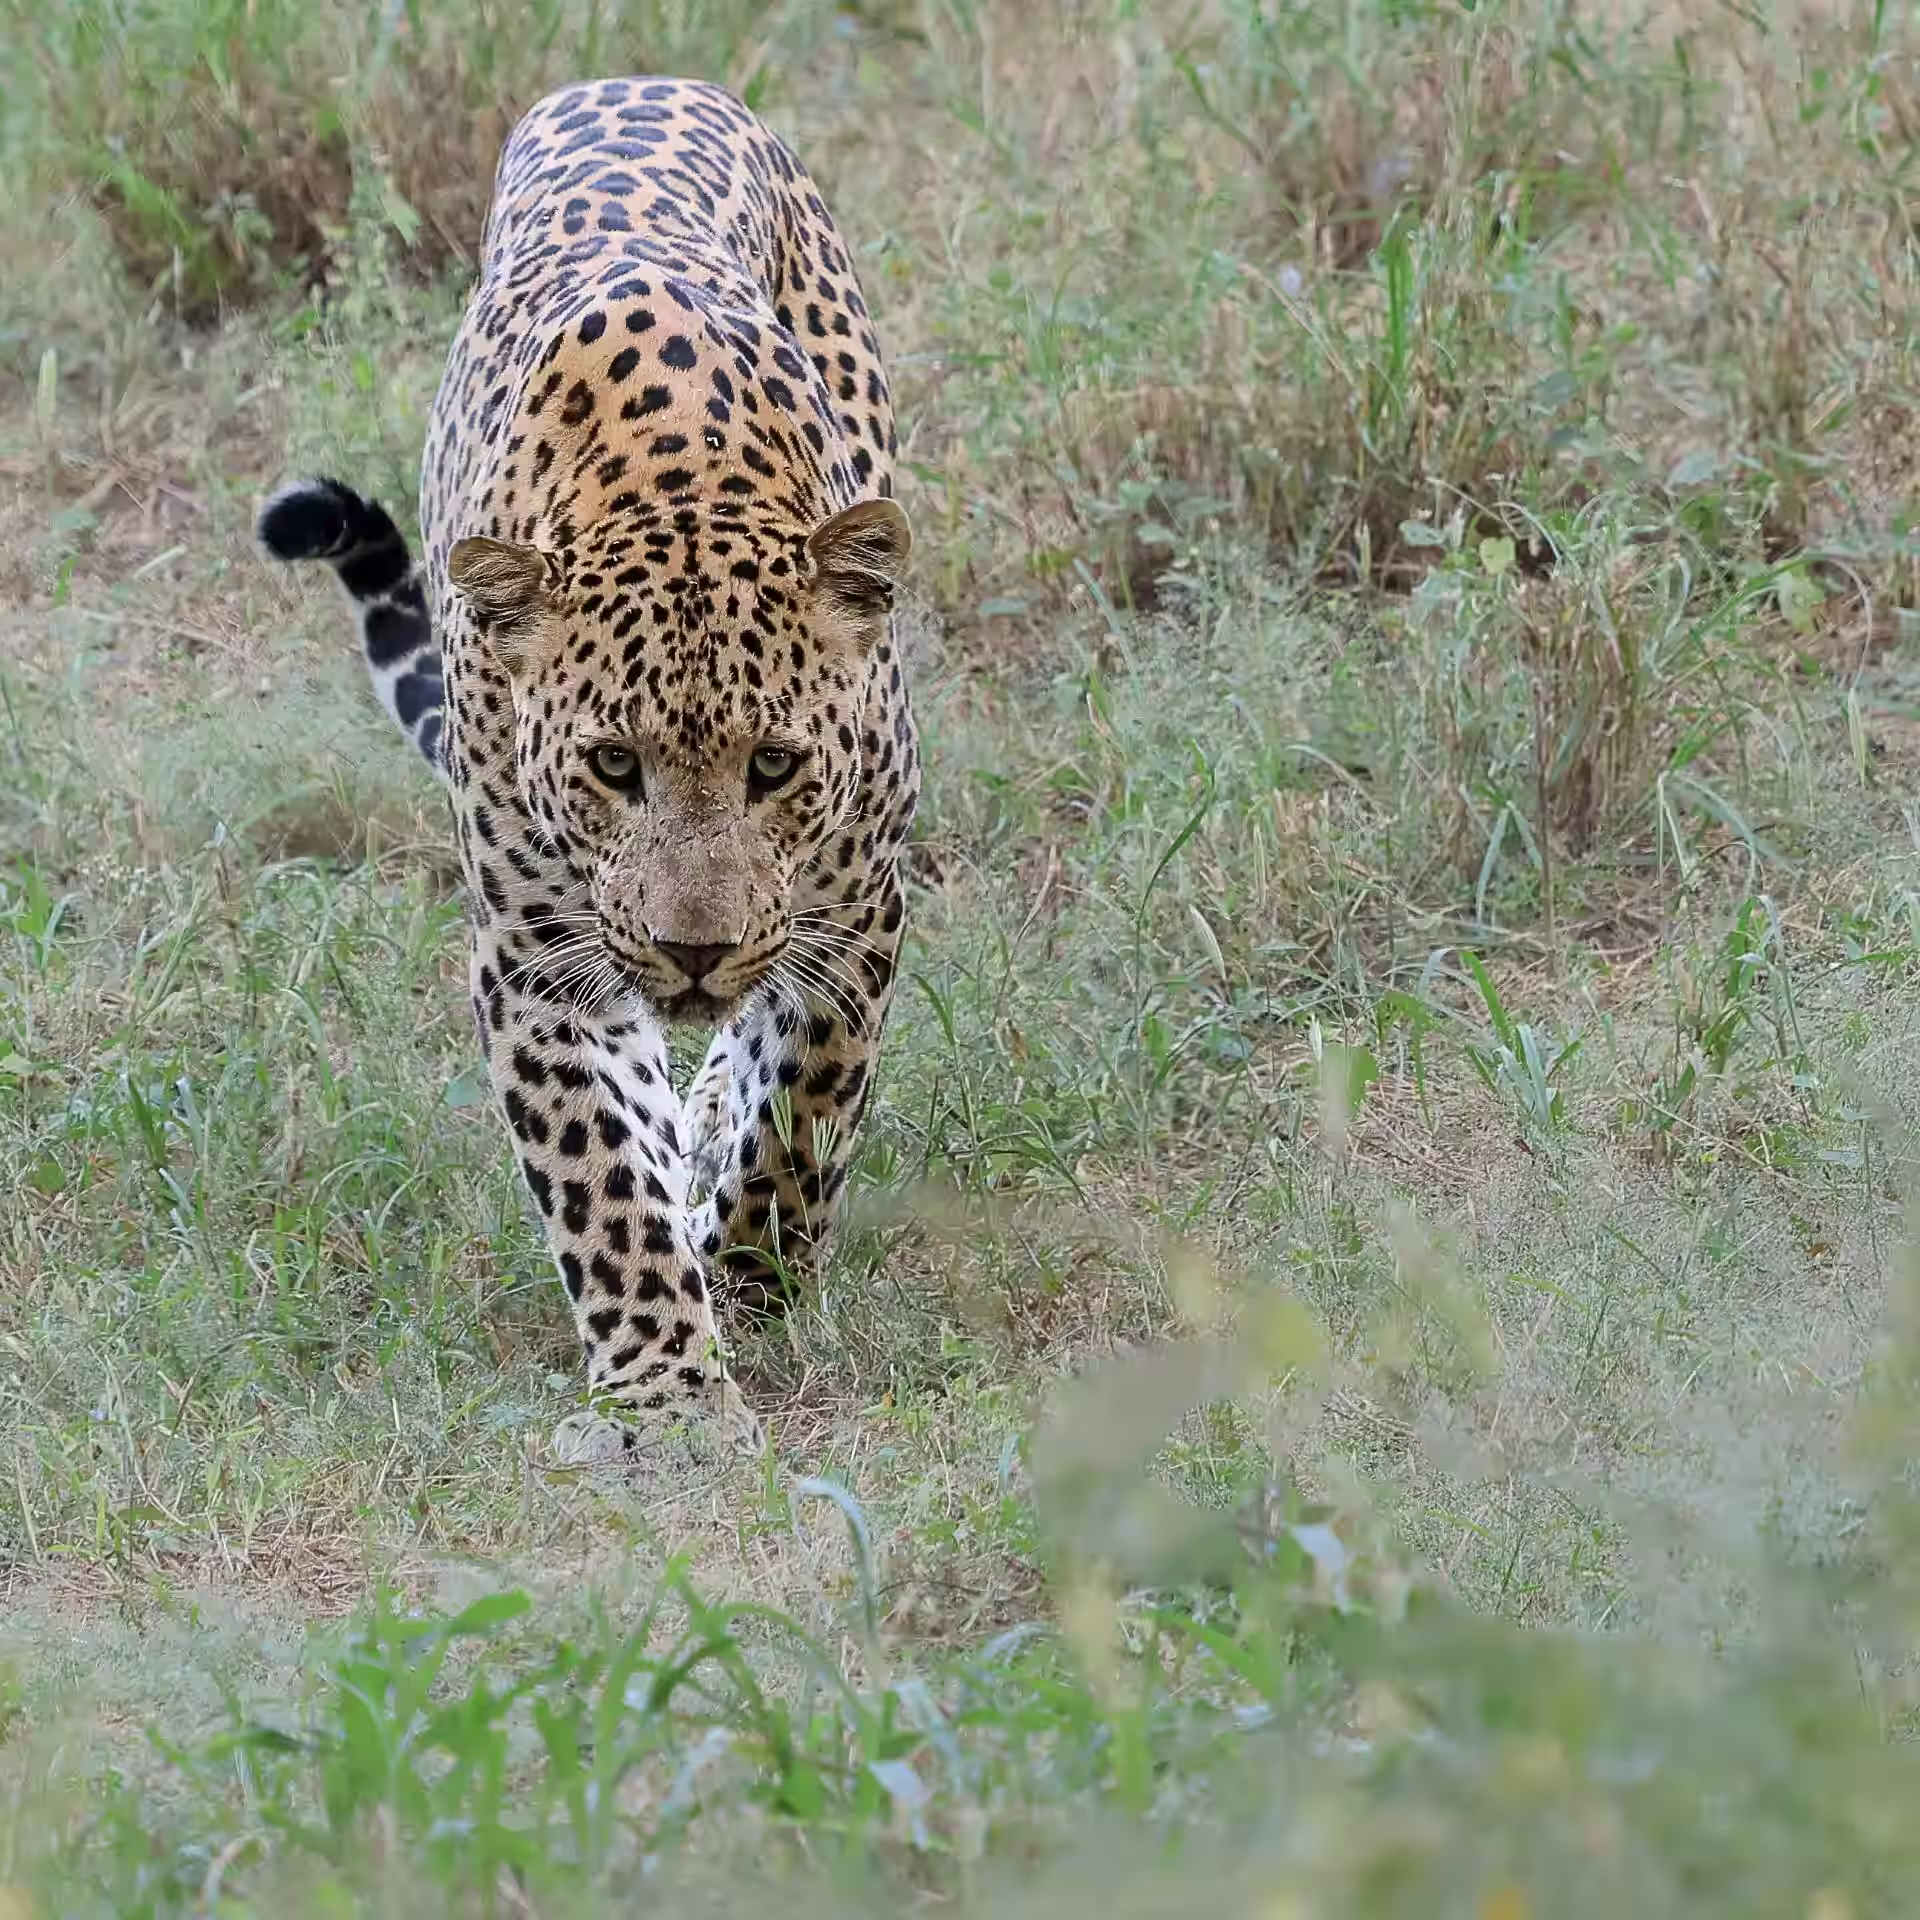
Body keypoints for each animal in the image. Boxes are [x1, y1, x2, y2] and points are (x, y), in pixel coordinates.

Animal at [257, 76, 918, 1456]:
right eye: (614, 764)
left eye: (776, 764)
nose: (695, 951)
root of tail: (641, 77)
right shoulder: (540, 958)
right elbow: (604, 1177)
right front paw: (668, 1391)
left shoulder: (857, 906)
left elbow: (801, 1108)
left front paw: (752, 1279)